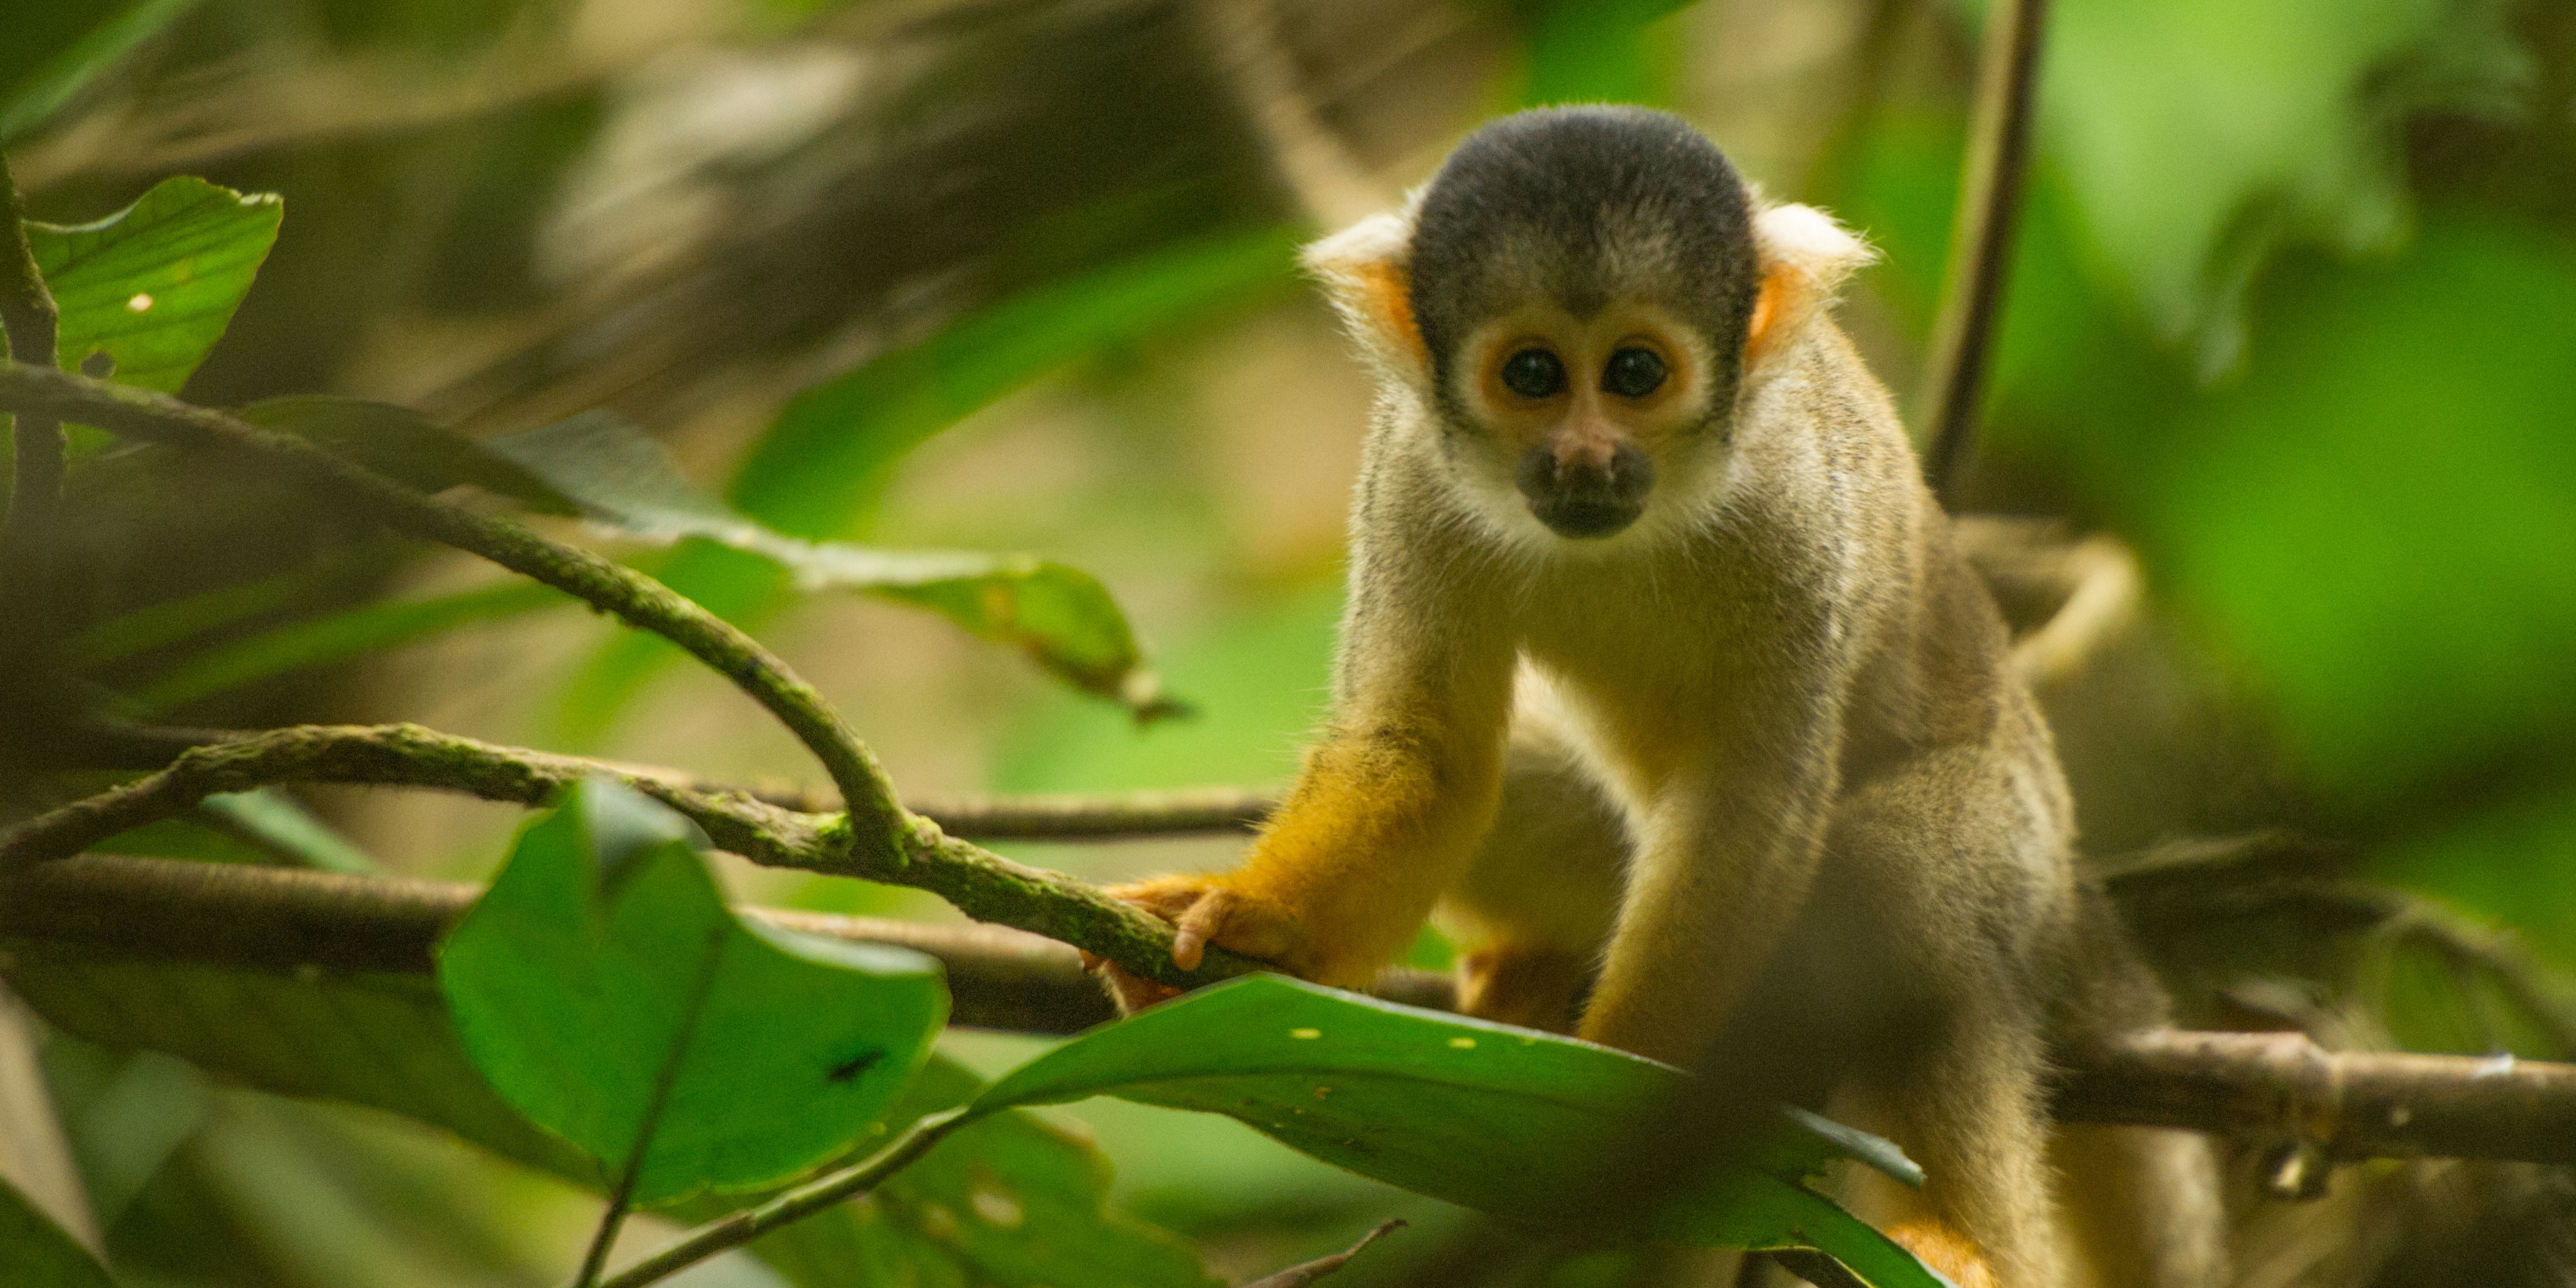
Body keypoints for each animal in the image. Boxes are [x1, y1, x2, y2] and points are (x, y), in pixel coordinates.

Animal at [1105, 106, 2226, 1288]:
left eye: (1635, 372)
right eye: (1533, 374)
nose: (1584, 458)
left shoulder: (1793, 502)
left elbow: (1749, 805)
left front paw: (1610, 1101)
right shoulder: (1407, 470)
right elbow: (1425, 751)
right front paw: (1260, 923)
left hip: (2011, 841)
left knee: (1901, 890)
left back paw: (1959, 1241)